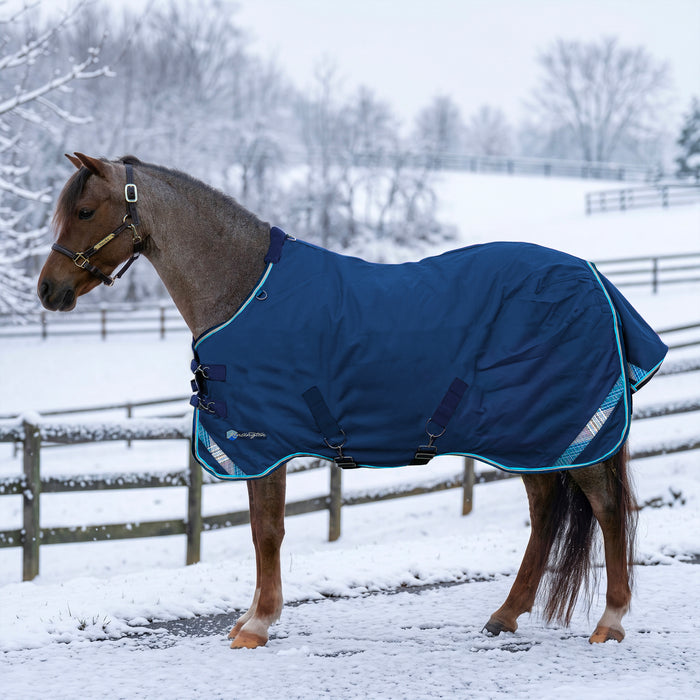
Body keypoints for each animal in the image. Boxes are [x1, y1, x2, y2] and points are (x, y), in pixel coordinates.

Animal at [38, 153, 663, 649]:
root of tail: (594, 278)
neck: (244, 289)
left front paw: (257, 625)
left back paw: (610, 621)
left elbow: (266, 531)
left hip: (570, 433)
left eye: (85, 211)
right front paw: (250, 617)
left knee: (609, 509)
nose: (48, 289)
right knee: (545, 514)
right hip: (534, 437)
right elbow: (262, 529)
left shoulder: (263, 443)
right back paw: (506, 615)